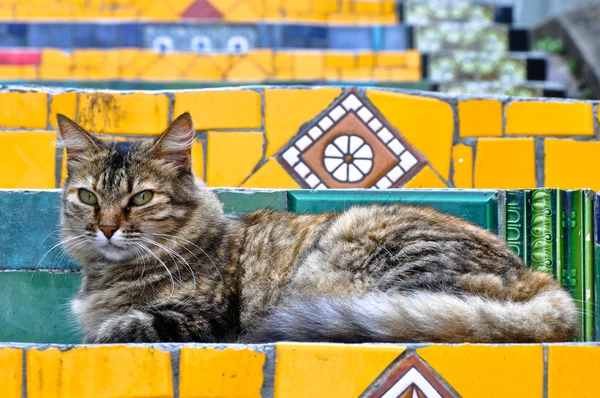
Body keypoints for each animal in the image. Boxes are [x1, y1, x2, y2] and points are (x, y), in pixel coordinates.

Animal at [58, 110, 580, 344]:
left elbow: (121, 326)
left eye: (141, 199)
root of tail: (534, 276)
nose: (106, 228)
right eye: (89, 197)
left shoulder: (204, 319)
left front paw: (100, 334)